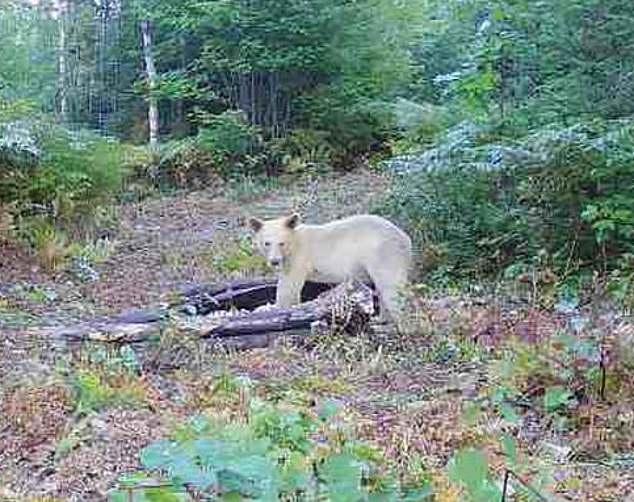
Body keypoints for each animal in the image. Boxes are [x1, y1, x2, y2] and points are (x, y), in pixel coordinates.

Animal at [247, 212, 410, 322]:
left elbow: (288, 287)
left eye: (282, 243)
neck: (294, 241)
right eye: (266, 243)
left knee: (390, 287)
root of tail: (405, 238)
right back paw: (381, 319)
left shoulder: (299, 257)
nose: (274, 261)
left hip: (384, 253)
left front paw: (274, 309)